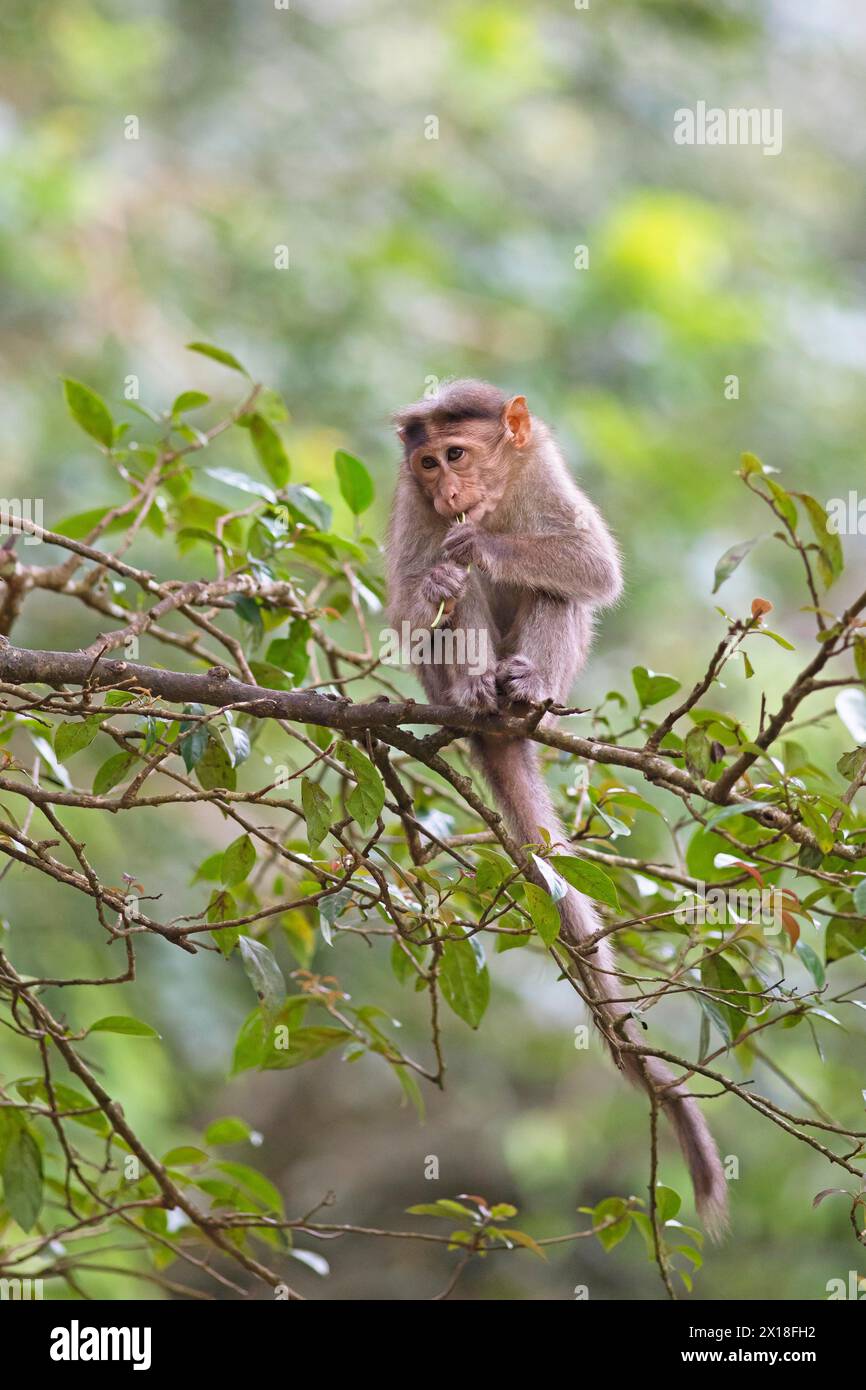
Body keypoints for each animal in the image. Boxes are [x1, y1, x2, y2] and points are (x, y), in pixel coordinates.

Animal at [389, 380, 728, 1239]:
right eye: (426, 465)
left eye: (457, 454)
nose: (448, 492)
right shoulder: (411, 511)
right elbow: (412, 605)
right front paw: (442, 582)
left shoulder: (544, 470)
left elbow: (589, 566)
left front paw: (484, 545)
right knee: (459, 623)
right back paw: (475, 692)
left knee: (559, 589)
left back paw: (522, 688)